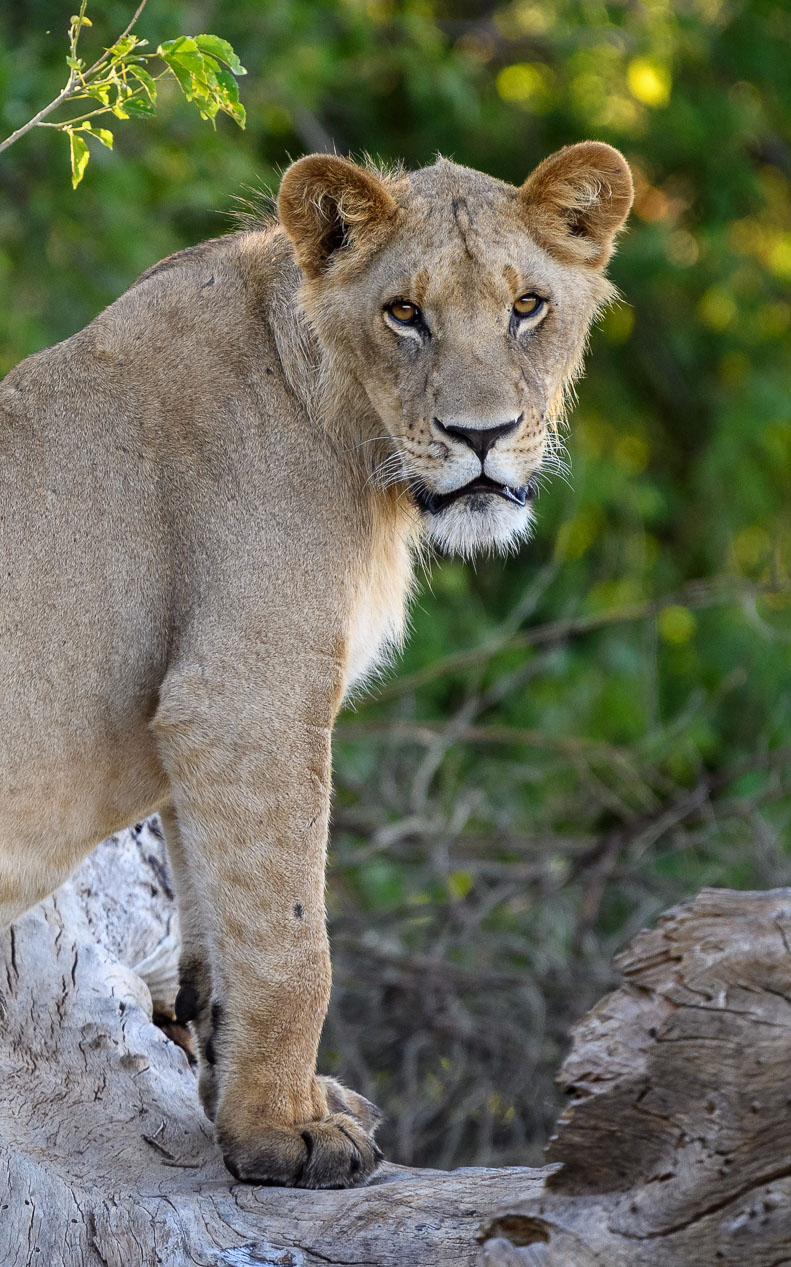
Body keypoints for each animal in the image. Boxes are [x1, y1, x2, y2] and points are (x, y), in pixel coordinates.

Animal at [0, 141, 633, 1187]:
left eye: (527, 305)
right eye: (404, 312)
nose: (480, 436)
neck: (353, 438)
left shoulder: (202, 715)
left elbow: (218, 930)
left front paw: (245, 1092)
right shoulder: (243, 696)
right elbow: (293, 940)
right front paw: (279, 1131)